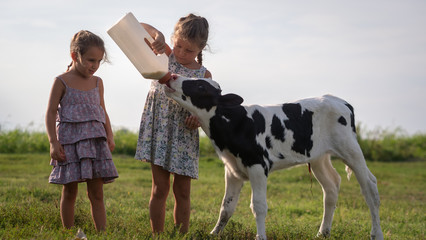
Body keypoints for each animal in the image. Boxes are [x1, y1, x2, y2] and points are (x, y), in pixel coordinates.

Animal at [165, 75, 384, 240]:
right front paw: (213, 233)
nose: (173, 75)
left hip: (350, 149)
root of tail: (337, 99)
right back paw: (323, 233)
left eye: (201, 86)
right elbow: (226, 207)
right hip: (318, 156)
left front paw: (261, 237)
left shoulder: (258, 165)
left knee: (370, 187)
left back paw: (376, 234)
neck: (235, 124)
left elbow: (258, 206)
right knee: (331, 187)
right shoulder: (232, 169)